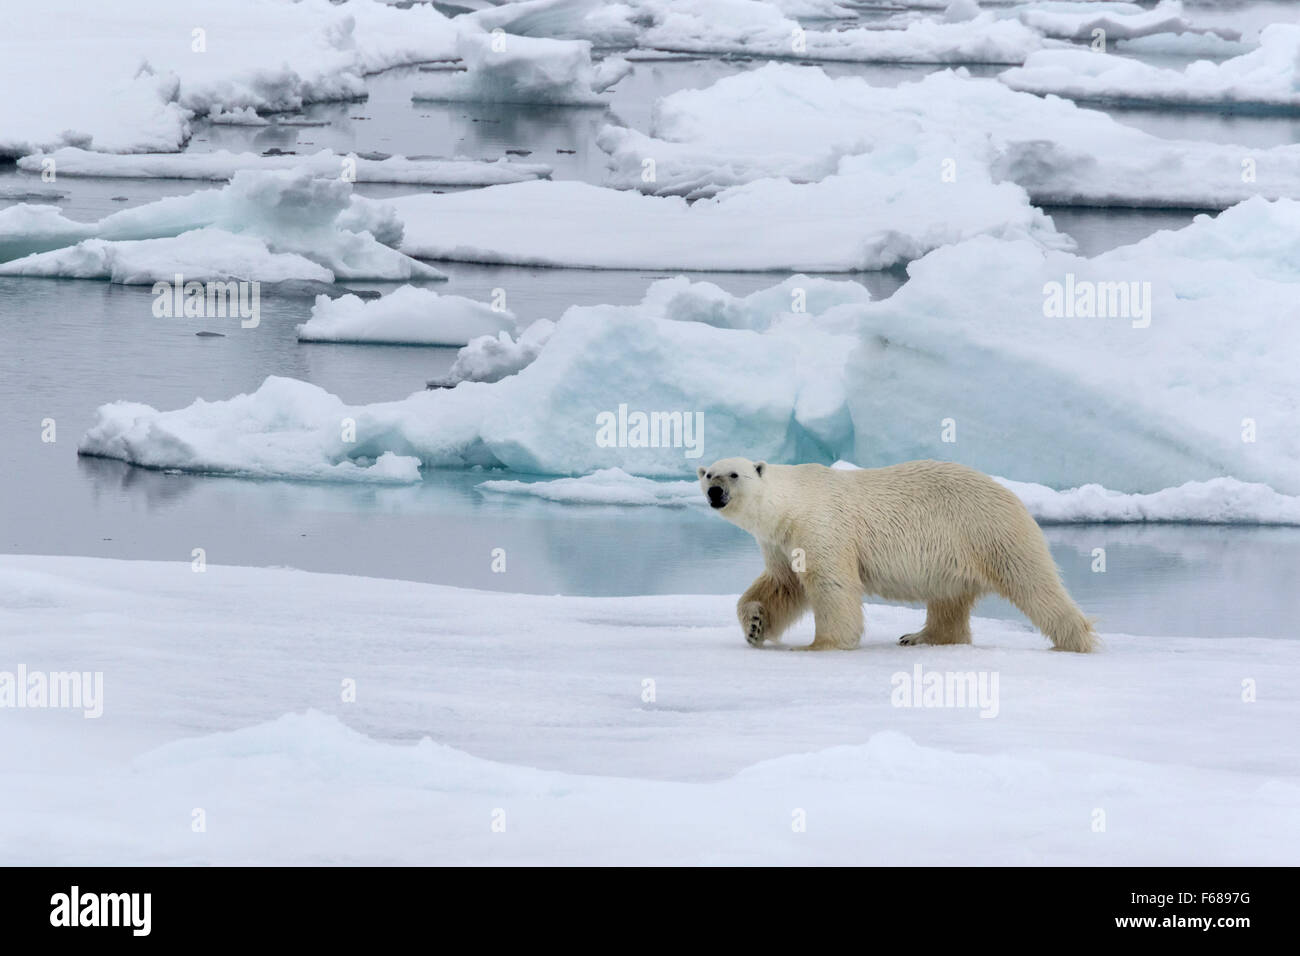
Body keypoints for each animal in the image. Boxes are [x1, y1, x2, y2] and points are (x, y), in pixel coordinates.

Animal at [702, 460, 1097, 655]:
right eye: (708, 473)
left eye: (734, 474)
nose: (714, 492)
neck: (793, 502)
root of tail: (1014, 497)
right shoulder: (780, 541)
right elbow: (782, 584)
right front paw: (755, 626)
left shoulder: (822, 525)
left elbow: (831, 584)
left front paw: (819, 645)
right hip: (954, 554)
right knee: (948, 600)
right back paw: (920, 637)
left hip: (989, 532)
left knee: (1035, 585)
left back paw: (1074, 642)